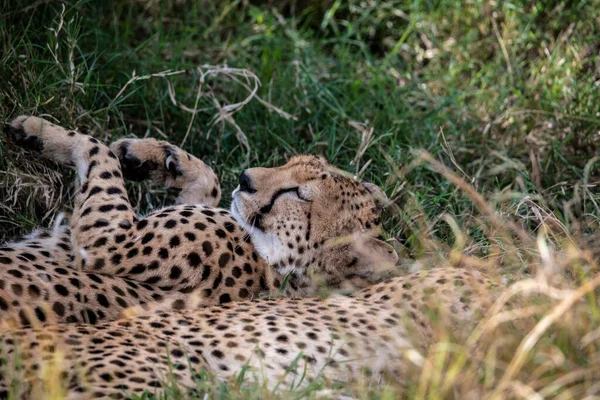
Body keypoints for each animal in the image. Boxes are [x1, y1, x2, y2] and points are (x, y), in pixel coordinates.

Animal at [0, 115, 500, 396]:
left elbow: (95, 151)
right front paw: (152, 156)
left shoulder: (111, 241)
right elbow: (205, 178)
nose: (246, 177)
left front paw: (43, 133)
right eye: (294, 162)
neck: (276, 269)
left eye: (297, 194)